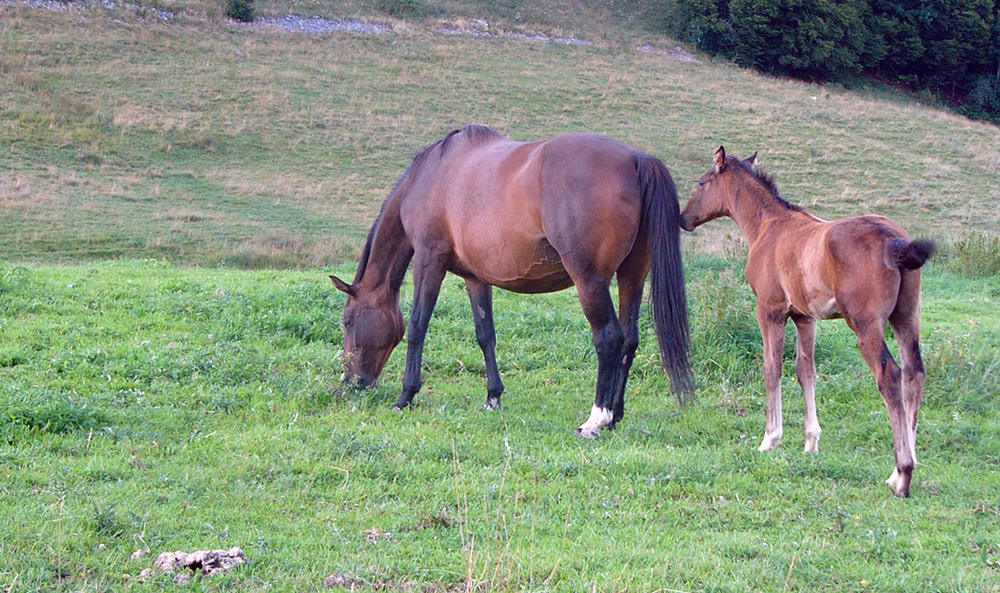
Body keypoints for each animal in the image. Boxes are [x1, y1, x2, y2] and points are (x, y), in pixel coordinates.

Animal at [332, 125, 692, 438]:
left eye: (348, 321)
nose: (352, 382)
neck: (431, 176)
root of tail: (635, 158)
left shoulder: (428, 260)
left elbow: (418, 326)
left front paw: (406, 396)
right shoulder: (475, 277)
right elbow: (485, 335)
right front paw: (493, 398)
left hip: (590, 280)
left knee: (610, 339)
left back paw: (595, 420)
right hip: (632, 274)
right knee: (629, 340)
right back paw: (615, 416)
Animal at [684, 147, 932, 494]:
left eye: (702, 182)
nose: (684, 218)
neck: (768, 226)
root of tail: (895, 241)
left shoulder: (770, 310)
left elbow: (772, 368)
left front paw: (770, 438)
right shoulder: (805, 317)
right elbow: (806, 371)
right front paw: (811, 441)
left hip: (866, 324)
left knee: (890, 375)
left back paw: (903, 474)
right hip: (906, 318)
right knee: (914, 373)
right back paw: (898, 472)